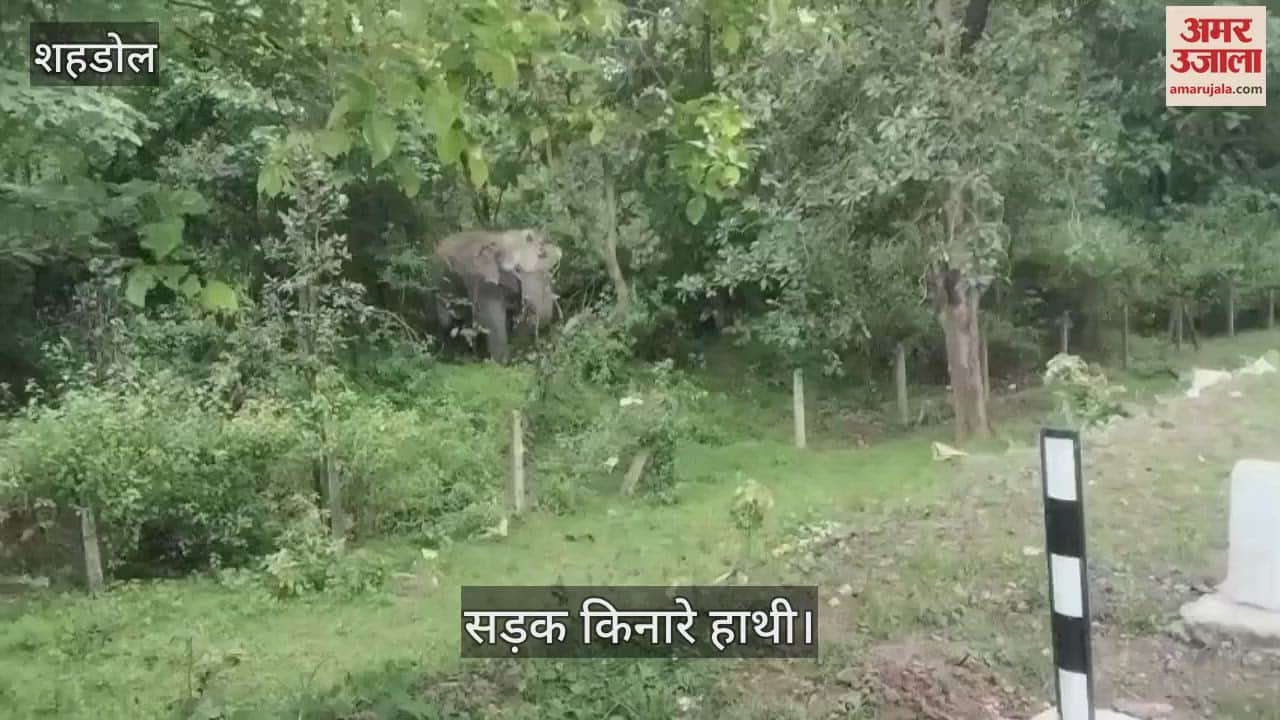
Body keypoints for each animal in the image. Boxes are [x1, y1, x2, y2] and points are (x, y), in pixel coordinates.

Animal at [431, 228, 562, 363]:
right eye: (517, 270)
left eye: (550, 271)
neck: (502, 240)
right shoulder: (485, 283)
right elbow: (492, 321)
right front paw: (501, 362)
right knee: (447, 320)